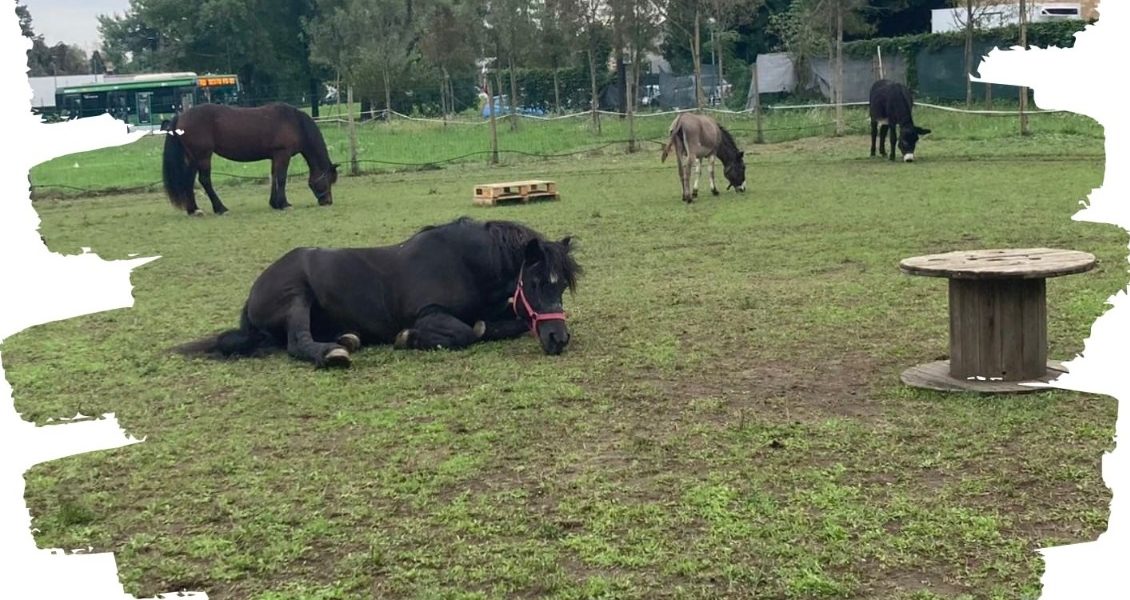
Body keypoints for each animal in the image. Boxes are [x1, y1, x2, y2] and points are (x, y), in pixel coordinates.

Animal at [162, 103, 339, 215]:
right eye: (328, 180)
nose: (328, 202)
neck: (294, 122)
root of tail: (181, 116)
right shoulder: (283, 154)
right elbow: (281, 178)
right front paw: (284, 204)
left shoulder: (275, 156)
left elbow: (274, 177)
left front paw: (275, 203)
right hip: (203, 157)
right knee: (205, 181)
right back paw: (221, 208)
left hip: (193, 158)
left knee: (188, 181)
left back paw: (194, 210)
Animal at [178, 215, 583, 366]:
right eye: (535, 283)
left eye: (562, 285)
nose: (558, 339)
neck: (463, 262)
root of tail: (253, 293)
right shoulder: (428, 313)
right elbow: (465, 333)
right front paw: (409, 338)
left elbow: (502, 324)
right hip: (296, 296)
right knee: (295, 342)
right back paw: (334, 352)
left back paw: (346, 338)